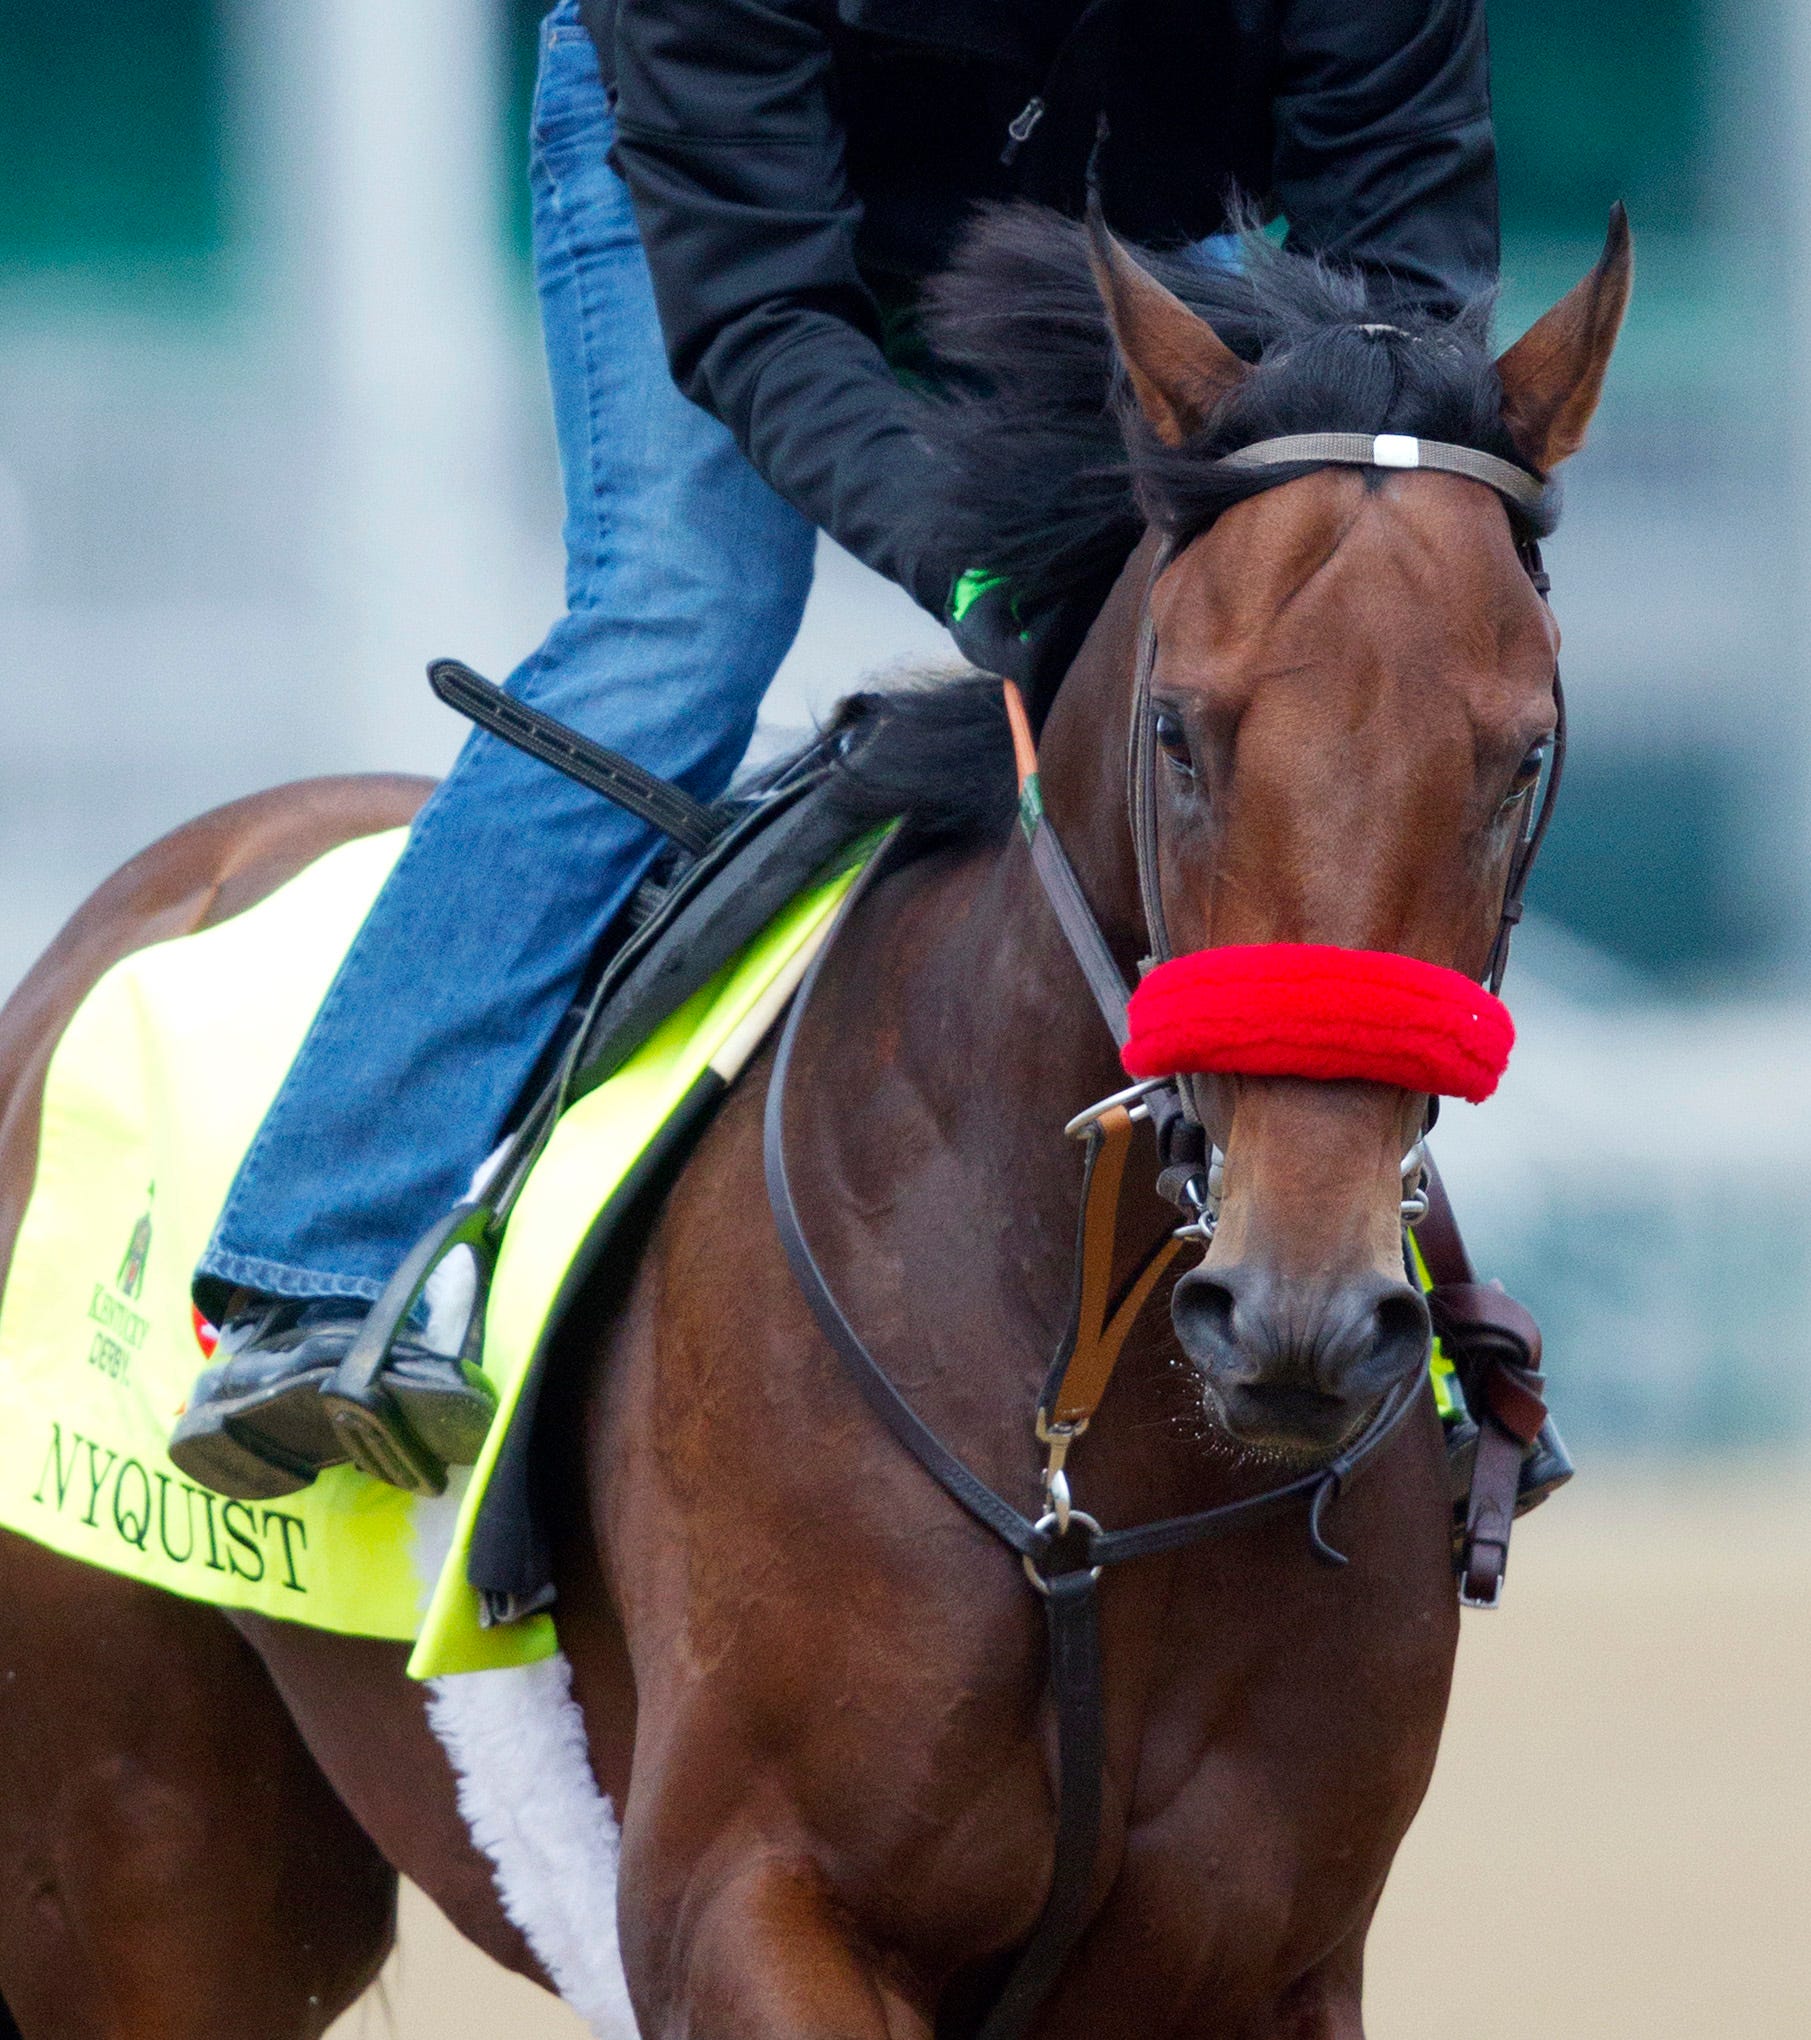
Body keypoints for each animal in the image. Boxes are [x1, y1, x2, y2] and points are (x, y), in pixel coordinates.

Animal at [0, 211, 1623, 2040]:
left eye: (1523, 753)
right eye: (1176, 730)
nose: (1297, 1315)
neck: (1080, 1459)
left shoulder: (1252, 1957)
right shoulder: (740, 1898)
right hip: (141, 1858)